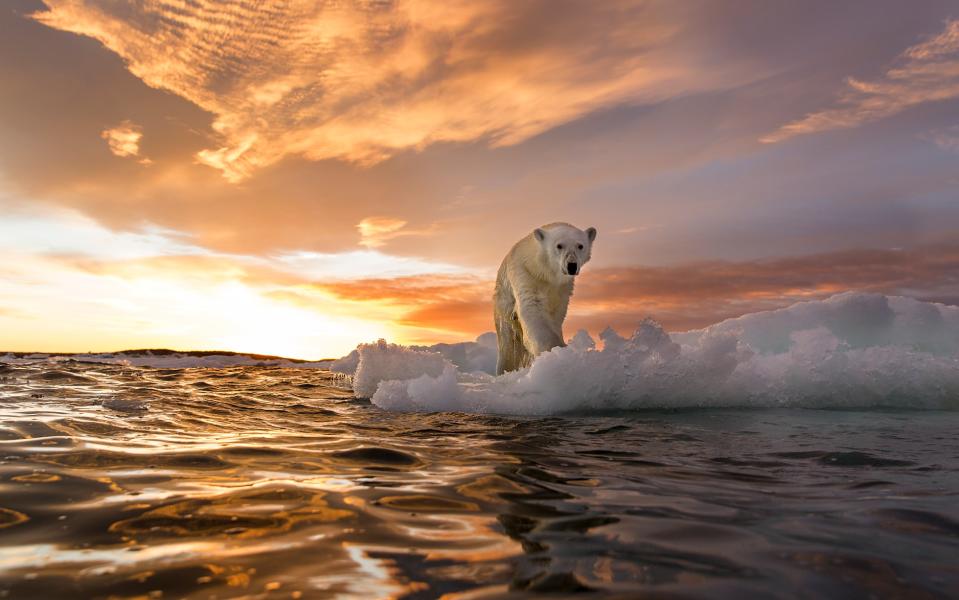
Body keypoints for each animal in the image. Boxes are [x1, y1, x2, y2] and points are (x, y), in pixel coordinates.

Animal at [492, 224, 596, 376]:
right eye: (559, 245)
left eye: (580, 246)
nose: (571, 265)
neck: (545, 272)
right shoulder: (526, 274)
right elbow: (532, 309)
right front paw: (555, 351)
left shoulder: (562, 289)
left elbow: (556, 315)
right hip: (503, 304)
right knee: (509, 345)